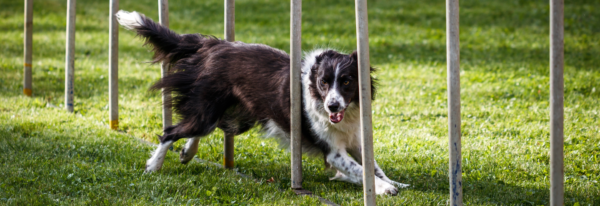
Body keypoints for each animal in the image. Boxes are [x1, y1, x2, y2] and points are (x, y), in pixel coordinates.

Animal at [116, 10, 408, 196]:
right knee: (171, 131)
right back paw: (154, 166)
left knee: (204, 127)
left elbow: (373, 167)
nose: (332, 107)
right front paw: (384, 189)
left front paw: (392, 182)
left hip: (235, 115)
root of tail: (214, 45)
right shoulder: (333, 151)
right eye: (324, 83)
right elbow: (360, 170)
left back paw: (187, 153)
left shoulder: (356, 140)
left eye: (346, 81)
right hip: (210, 110)